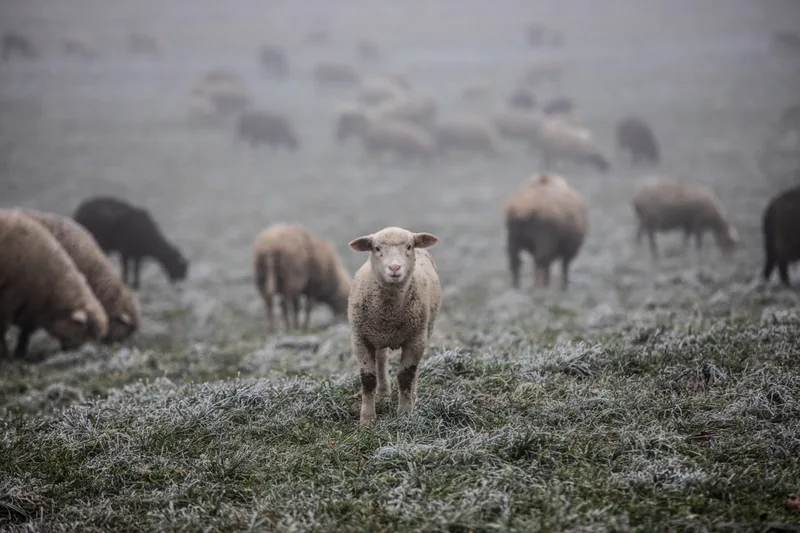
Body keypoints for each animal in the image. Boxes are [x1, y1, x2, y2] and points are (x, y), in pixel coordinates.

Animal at [0, 209, 108, 359]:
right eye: (85, 330)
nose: (84, 353)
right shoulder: (10, 297)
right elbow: (3, 327)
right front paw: (6, 355)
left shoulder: (33, 310)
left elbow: (25, 333)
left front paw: (19, 354)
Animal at [347, 226, 441, 425]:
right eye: (376, 248)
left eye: (409, 246)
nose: (395, 268)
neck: (389, 312)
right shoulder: (360, 338)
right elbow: (368, 379)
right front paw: (367, 419)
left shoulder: (415, 338)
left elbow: (406, 376)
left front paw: (405, 413)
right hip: (377, 334)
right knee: (382, 359)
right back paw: (383, 393)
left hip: (426, 329)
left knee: (415, 369)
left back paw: (413, 396)